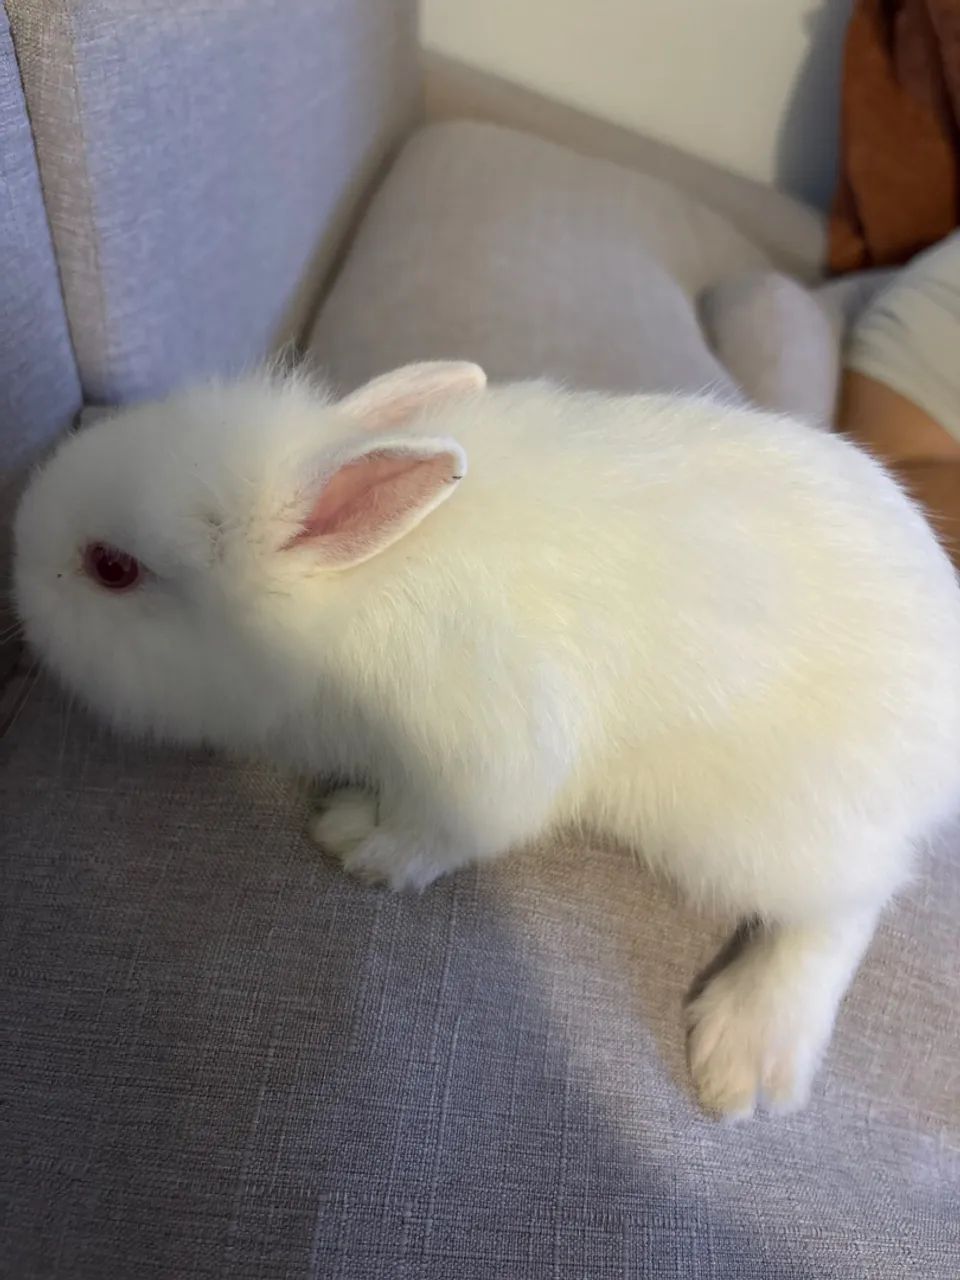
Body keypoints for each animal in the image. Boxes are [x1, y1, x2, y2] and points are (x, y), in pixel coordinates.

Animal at [13, 360, 960, 1120]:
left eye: (112, 568)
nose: (16, 560)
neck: (349, 598)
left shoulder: (482, 757)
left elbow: (448, 831)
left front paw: (356, 841)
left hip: (777, 834)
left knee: (844, 911)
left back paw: (745, 1055)